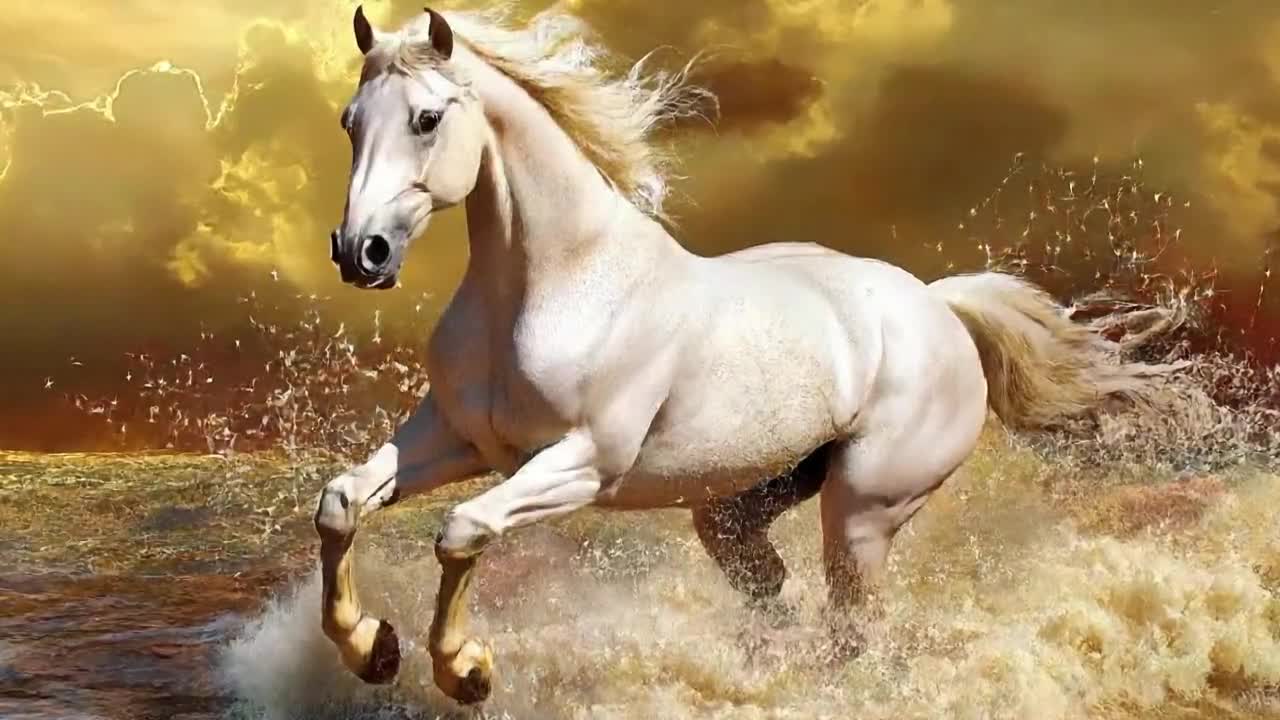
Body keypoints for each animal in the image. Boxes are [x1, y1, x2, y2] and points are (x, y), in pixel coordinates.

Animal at [312, 6, 1184, 705]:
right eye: (350, 121)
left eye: (427, 118)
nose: (362, 252)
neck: (558, 281)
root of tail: (939, 306)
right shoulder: (456, 437)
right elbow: (342, 503)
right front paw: (373, 649)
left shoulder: (581, 464)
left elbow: (462, 530)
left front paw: (466, 669)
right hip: (734, 509)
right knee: (781, 601)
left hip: (863, 514)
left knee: (853, 630)